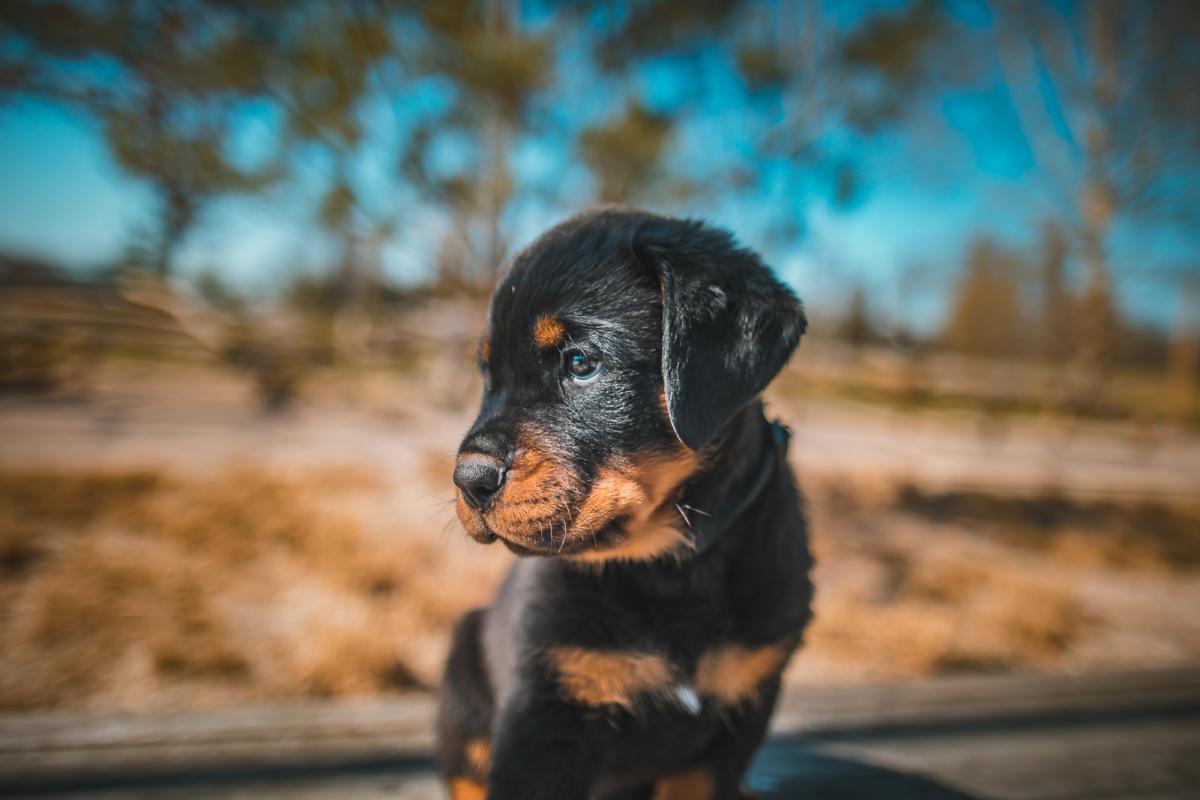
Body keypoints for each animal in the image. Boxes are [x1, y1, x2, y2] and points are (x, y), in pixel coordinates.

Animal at [436, 208, 811, 800]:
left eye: (580, 362)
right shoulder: (544, 708)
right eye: (488, 377)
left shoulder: (737, 715)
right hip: (462, 665)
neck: (672, 566)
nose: (468, 478)